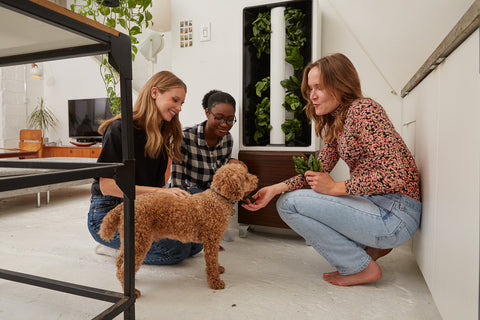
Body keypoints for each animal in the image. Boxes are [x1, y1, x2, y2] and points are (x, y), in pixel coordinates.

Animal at [98, 162, 258, 298]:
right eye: (245, 176)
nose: (256, 180)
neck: (217, 199)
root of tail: (123, 207)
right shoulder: (211, 242)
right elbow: (211, 263)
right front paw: (215, 282)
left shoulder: (212, 242)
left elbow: (215, 261)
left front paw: (219, 269)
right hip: (141, 241)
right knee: (124, 267)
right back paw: (133, 291)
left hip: (131, 239)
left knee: (120, 260)